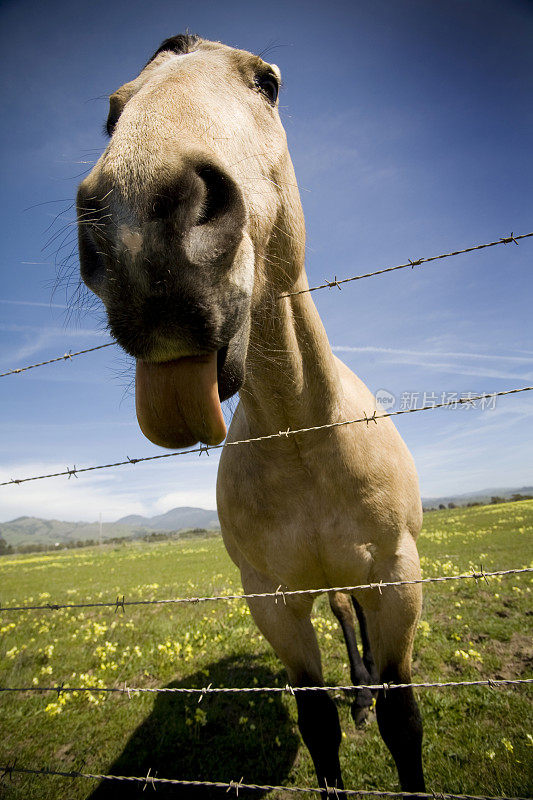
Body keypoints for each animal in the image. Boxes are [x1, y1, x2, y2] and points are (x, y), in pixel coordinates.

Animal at [76, 32, 424, 792]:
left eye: (266, 83)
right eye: (113, 111)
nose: (137, 230)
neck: (302, 434)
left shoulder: (395, 584)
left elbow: (403, 721)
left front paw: (379, 711)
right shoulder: (271, 601)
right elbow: (316, 724)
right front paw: (342, 716)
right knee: (340, 616)